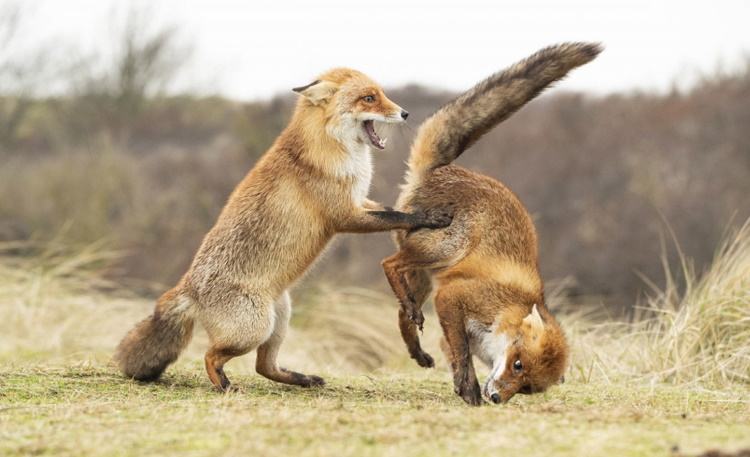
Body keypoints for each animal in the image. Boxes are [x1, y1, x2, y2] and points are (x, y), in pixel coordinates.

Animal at [114, 68, 450, 392]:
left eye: (381, 94)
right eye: (369, 98)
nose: (405, 113)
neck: (333, 149)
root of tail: (186, 287)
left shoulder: (359, 201)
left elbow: (391, 210)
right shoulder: (344, 215)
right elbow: (396, 216)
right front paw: (430, 217)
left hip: (280, 318)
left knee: (264, 367)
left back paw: (303, 380)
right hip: (253, 329)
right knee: (210, 356)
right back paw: (225, 386)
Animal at [382, 42, 604, 404]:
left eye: (526, 387)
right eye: (517, 365)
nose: (498, 398)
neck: (507, 308)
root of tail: (441, 170)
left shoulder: (449, 318)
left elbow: (453, 352)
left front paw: (463, 387)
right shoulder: (452, 298)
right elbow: (462, 352)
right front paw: (471, 389)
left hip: (424, 277)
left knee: (403, 312)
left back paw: (417, 349)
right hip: (444, 249)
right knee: (388, 264)